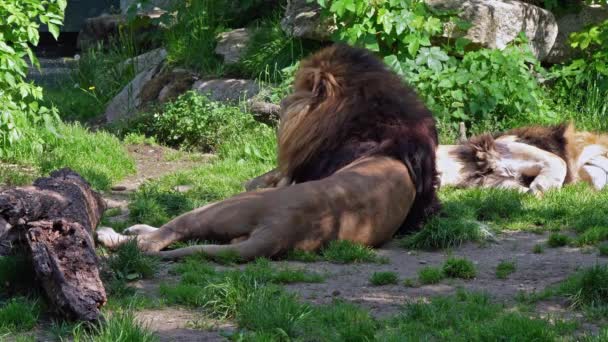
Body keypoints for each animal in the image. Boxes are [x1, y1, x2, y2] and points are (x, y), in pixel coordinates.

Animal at [95, 44, 440, 260]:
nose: (283, 101)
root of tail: (281, 231)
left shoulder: (291, 175)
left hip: (224, 206)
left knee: (159, 239)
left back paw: (113, 233)